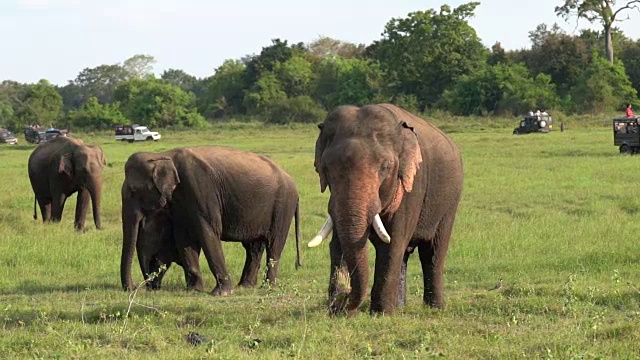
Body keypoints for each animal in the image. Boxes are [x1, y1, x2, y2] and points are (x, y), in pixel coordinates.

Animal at [122, 146, 302, 296]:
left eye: (133, 191)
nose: (134, 287)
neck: (163, 155)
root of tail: (293, 182)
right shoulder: (179, 204)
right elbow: (185, 238)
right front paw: (194, 290)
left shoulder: (200, 188)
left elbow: (208, 231)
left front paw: (221, 293)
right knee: (253, 247)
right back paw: (245, 286)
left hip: (283, 206)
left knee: (274, 244)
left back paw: (268, 287)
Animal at [308, 103, 462, 316]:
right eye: (326, 168)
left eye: (385, 168)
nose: (343, 300)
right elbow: (338, 241)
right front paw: (338, 311)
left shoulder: (412, 187)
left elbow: (393, 243)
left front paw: (380, 314)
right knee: (406, 255)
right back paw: (400, 307)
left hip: (449, 203)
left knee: (432, 253)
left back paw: (435, 308)